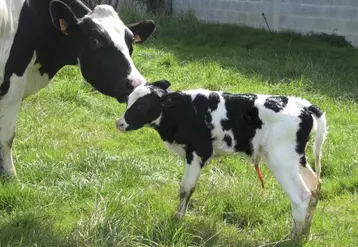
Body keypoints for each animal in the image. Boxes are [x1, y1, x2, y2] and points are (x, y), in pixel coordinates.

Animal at [0, 0, 157, 178]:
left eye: (131, 44)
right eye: (95, 41)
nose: (136, 83)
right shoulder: (13, 89)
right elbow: (7, 136)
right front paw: (10, 175)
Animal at [117, 81, 328, 239]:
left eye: (142, 105)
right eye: (128, 100)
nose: (119, 123)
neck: (184, 112)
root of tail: (302, 105)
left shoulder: (198, 152)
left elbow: (186, 189)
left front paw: (177, 220)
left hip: (280, 159)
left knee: (301, 196)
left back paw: (292, 238)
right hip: (296, 158)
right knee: (314, 187)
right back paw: (305, 232)